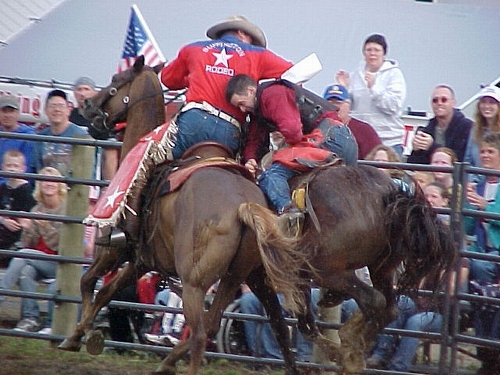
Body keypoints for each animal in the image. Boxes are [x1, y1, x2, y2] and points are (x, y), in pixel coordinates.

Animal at [58, 55, 308, 375]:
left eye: (116, 82)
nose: (87, 107)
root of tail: (242, 205)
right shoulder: (142, 260)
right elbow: (107, 291)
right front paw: (84, 334)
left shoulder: (115, 250)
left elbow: (88, 281)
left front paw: (79, 336)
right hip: (233, 277)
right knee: (225, 325)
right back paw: (166, 363)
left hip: (194, 282)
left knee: (201, 333)